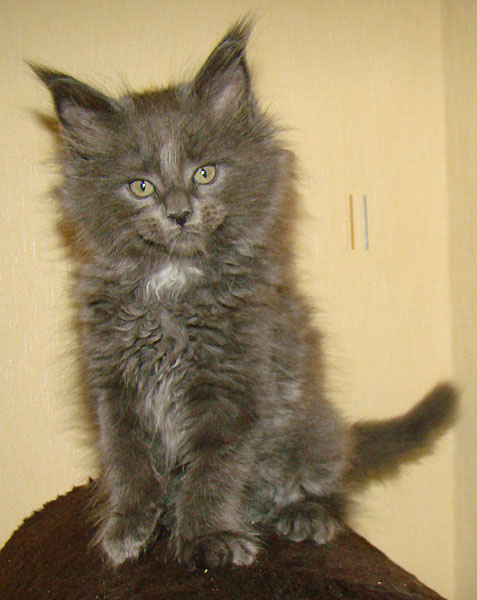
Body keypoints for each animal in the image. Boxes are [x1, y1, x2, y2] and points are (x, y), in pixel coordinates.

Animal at [31, 20, 457, 569]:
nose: (179, 212)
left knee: (329, 487)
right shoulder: (113, 383)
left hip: (310, 429)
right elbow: (128, 462)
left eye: (205, 172)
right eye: (141, 186)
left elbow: (214, 470)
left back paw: (304, 514)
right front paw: (127, 527)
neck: (172, 283)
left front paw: (208, 536)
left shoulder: (234, 382)